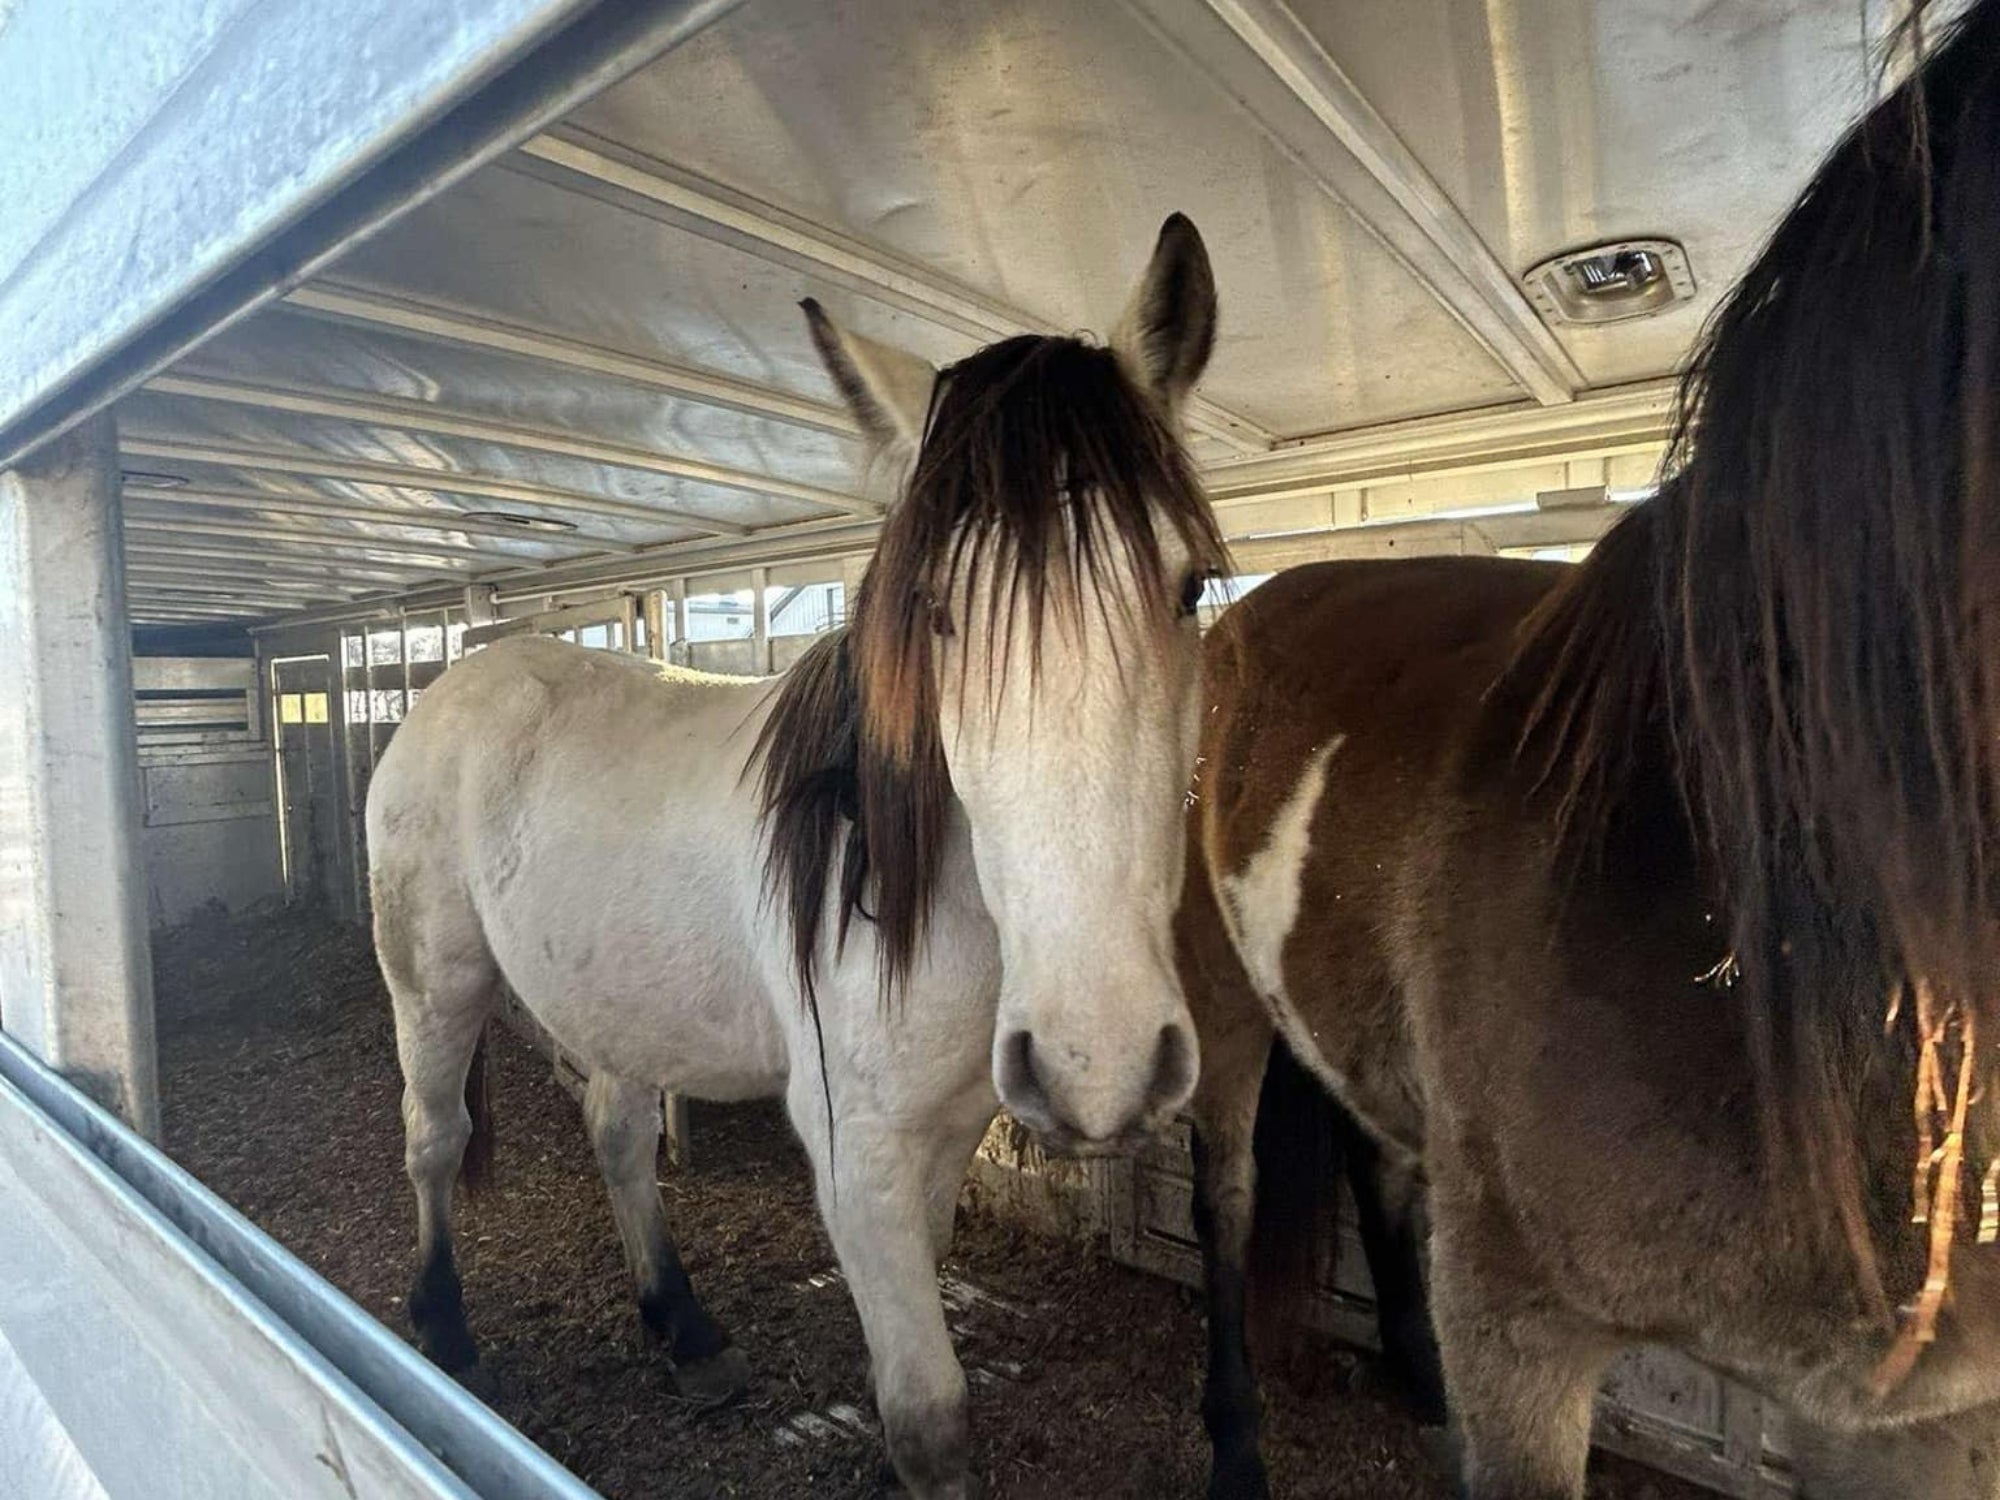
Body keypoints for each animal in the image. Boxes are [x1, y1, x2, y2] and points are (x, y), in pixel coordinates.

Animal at [368, 214, 1224, 1500]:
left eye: (1189, 584)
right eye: (934, 610)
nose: (1100, 1060)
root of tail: (460, 678)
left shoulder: (943, 1133)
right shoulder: (855, 1151)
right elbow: (926, 1414)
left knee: (615, 1132)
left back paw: (683, 1329)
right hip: (434, 985)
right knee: (433, 1139)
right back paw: (444, 1330)